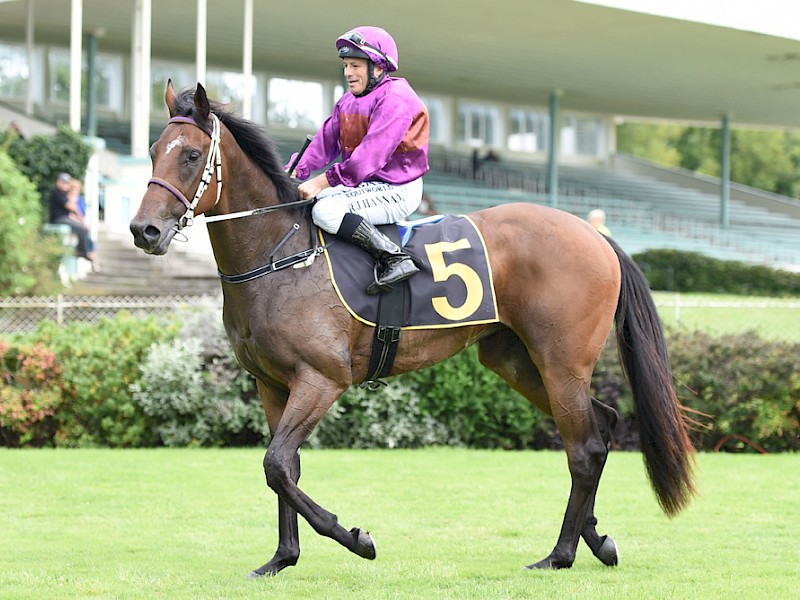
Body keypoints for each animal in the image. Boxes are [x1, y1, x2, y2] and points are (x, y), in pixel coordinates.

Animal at [130, 82, 692, 576]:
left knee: (584, 449)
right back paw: (596, 539)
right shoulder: (272, 384)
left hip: (561, 362)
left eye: (191, 155)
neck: (282, 256)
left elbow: (277, 465)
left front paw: (356, 539)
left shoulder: (321, 379)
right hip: (516, 360)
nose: (144, 230)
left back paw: (560, 554)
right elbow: (285, 468)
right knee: (602, 423)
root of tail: (595, 235)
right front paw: (282, 558)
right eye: (154, 150)